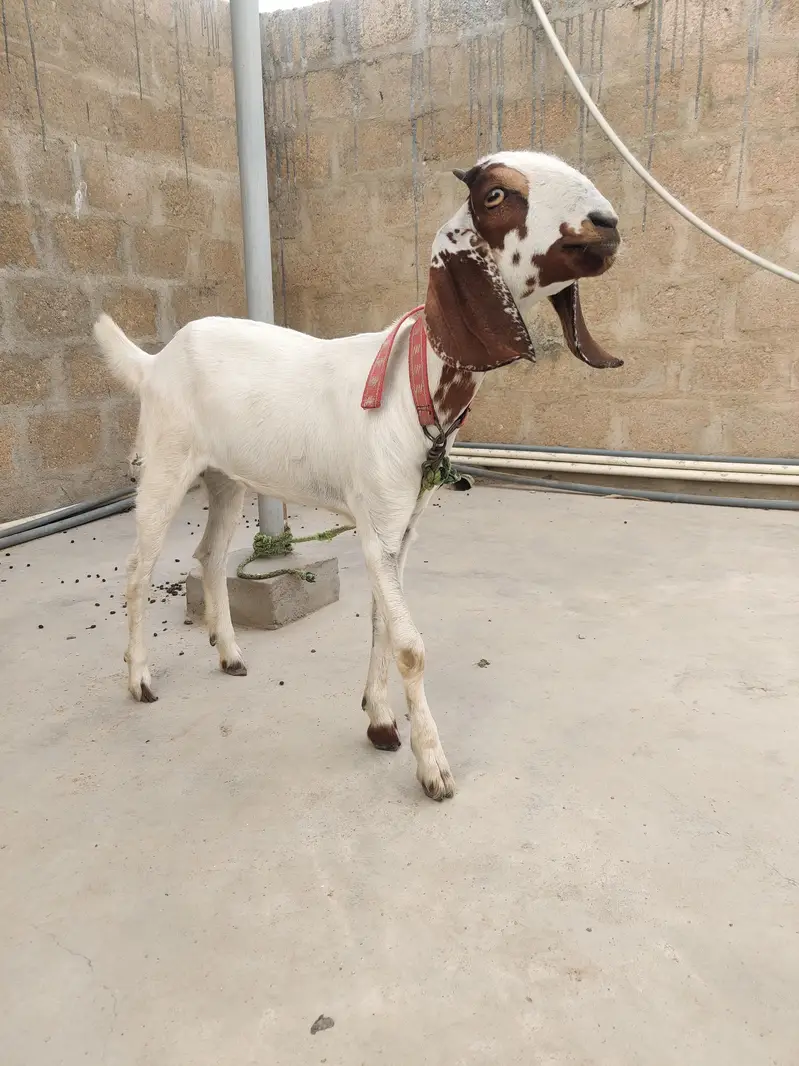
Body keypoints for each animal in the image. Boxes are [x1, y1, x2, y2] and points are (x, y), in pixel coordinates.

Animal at [94, 150, 622, 801]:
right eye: (495, 194)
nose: (606, 224)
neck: (411, 386)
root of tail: (154, 361)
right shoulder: (376, 526)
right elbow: (410, 645)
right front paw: (432, 767)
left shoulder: (398, 527)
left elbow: (381, 625)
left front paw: (380, 721)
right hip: (165, 466)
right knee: (137, 571)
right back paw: (141, 679)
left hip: (226, 478)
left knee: (210, 556)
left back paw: (230, 653)